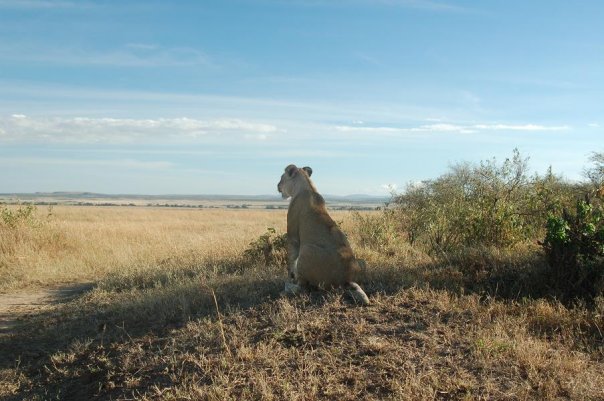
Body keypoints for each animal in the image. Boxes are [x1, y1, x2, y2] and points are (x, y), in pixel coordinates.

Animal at [278, 162, 370, 304]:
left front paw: (290, 278)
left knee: (302, 287)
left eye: (282, 178)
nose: (277, 185)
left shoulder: (293, 236)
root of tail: (346, 279)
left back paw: (286, 288)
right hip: (362, 262)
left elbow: (291, 261)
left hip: (306, 250)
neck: (307, 186)